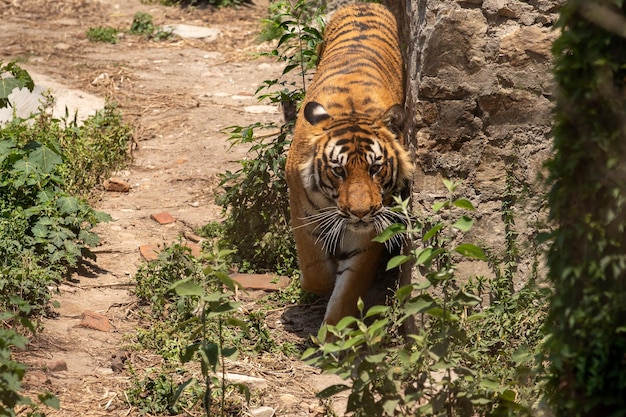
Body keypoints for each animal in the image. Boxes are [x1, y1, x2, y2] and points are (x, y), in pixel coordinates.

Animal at [284, 2, 412, 324]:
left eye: (375, 169)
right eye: (338, 171)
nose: (359, 212)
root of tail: (365, 4)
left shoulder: (370, 230)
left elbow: (347, 291)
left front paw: (334, 332)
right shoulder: (302, 213)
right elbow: (315, 270)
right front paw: (323, 281)